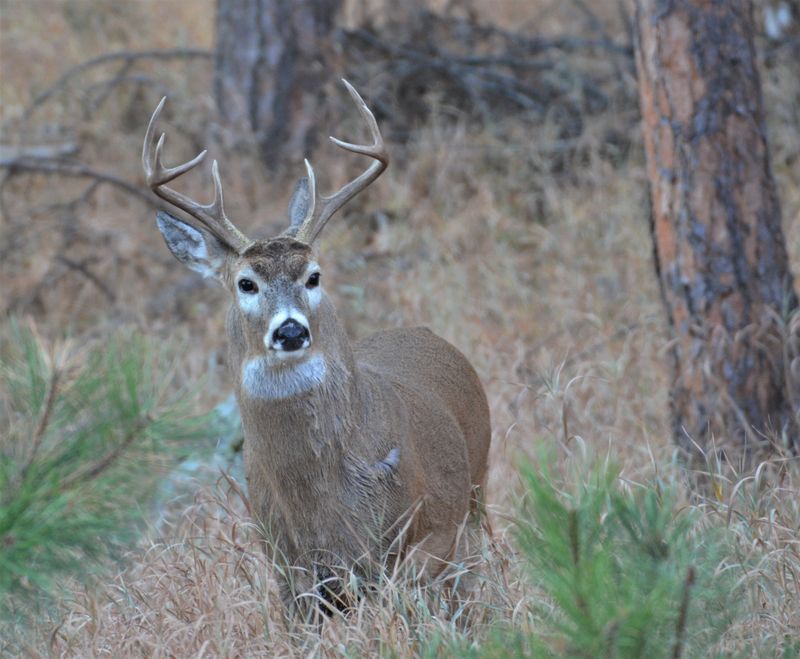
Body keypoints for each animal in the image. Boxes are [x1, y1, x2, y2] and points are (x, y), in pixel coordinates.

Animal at [142, 81, 491, 618]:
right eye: (245, 282)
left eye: (314, 276)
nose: (290, 332)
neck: (322, 503)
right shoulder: (289, 568)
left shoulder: (423, 540)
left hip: (476, 490)